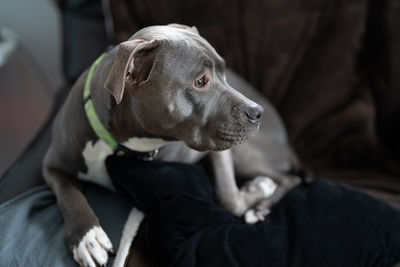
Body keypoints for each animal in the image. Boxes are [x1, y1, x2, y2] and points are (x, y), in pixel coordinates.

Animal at [42, 24, 302, 267]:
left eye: (224, 71)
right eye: (200, 81)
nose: (257, 112)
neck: (122, 142)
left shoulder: (218, 151)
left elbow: (228, 196)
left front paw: (258, 188)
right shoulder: (51, 165)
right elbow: (68, 194)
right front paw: (86, 237)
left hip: (244, 154)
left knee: (290, 178)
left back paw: (262, 203)